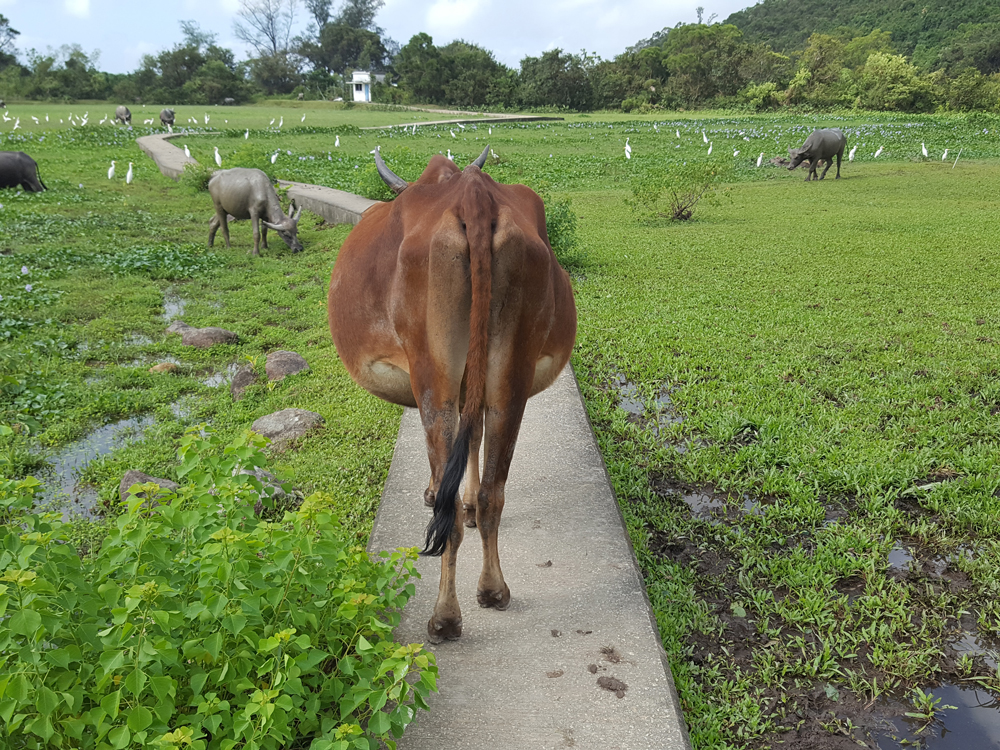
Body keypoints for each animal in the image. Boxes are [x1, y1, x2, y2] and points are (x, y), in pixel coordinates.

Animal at [328, 148, 580, 648]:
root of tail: (473, 198)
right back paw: (493, 588)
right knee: (493, 493)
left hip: (435, 381)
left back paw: (445, 616)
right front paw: (467, 503)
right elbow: (474, 442)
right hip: (510, 381)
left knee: (447, 508)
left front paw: (432, 492)